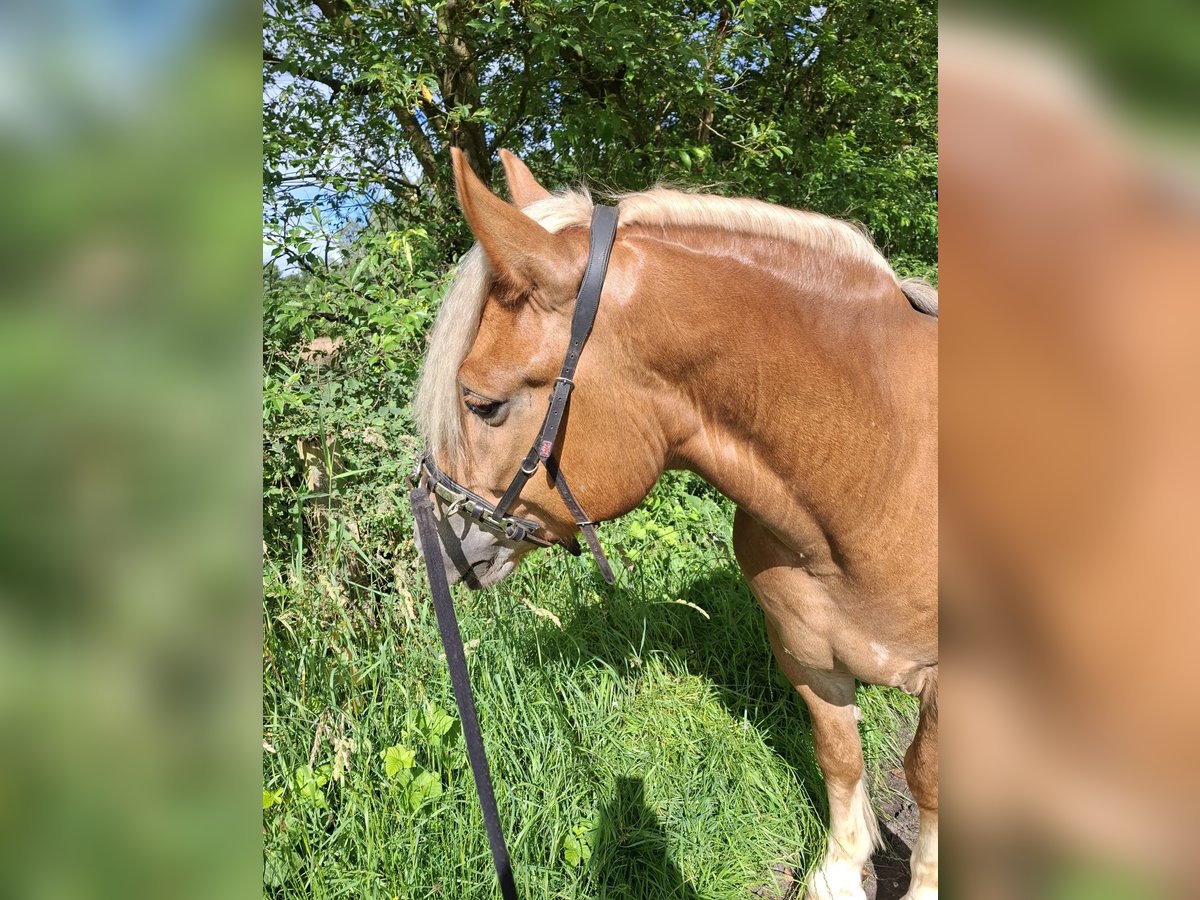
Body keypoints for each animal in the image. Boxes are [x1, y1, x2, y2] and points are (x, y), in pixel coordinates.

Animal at [412, 150, 936, 900]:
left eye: (482, 404)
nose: (444, 543)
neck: (875, 467)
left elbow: (927, 780)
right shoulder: (809, 655)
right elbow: (839, 753)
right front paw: (840, 869)